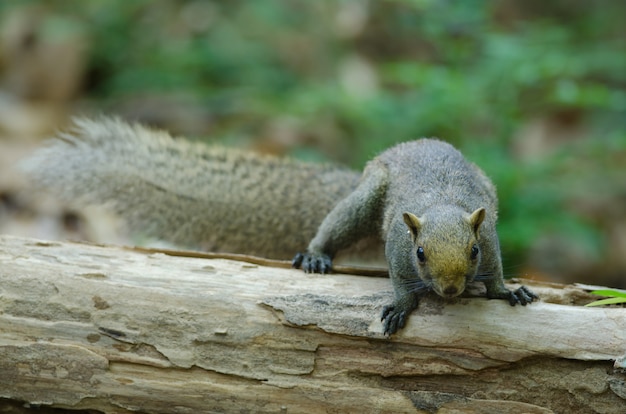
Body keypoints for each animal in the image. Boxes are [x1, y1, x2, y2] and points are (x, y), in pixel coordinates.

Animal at [22, 115, 532, 334]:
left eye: (472, 251)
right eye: (420, 253)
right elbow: (402, 282)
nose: (450, 290)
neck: (443, 203)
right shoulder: (396, 245)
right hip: (364, 201)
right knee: (333, 227)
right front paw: (401, 307)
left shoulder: (488, 232)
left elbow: (497, 272)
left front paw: (506, 291)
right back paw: (316, 255)